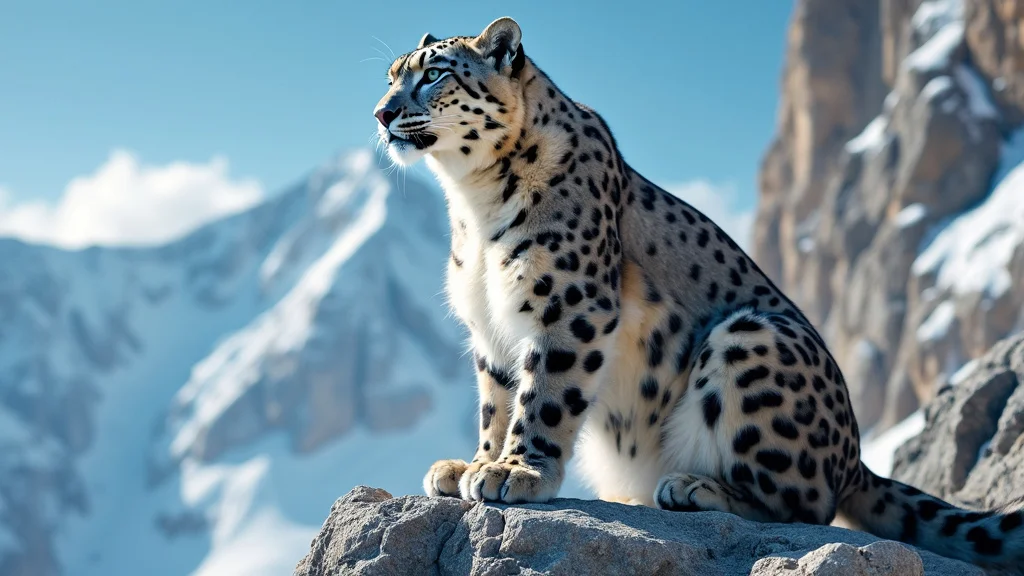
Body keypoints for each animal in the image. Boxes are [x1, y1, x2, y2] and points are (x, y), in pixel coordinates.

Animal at [372, 17, 1024, 571]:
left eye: (434, 73)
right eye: (391, 75)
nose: (381, 113)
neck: (472, 206)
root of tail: (855, 458)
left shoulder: (568, 304)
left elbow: (545, 396)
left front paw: (516, 472)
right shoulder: (490, 326)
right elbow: (497, 400)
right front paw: (475, 463)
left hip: (750, 340)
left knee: (806, 506)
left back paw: (691, 487)